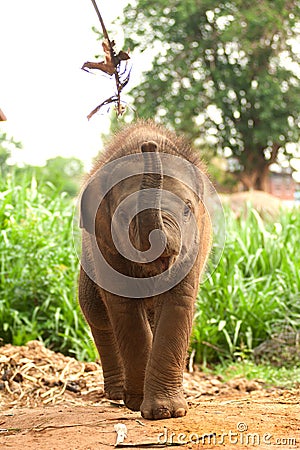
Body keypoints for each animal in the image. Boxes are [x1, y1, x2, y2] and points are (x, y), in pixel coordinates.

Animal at [78, 119, 212, 418]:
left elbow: (178, 301)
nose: (148, 146)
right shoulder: (104, 245)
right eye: (123, 214)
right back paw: (118, 394)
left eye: (187, 210)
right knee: (95, 311)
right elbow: (124, 307)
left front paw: (167, 412)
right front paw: (139, 404)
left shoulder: (195, 245)